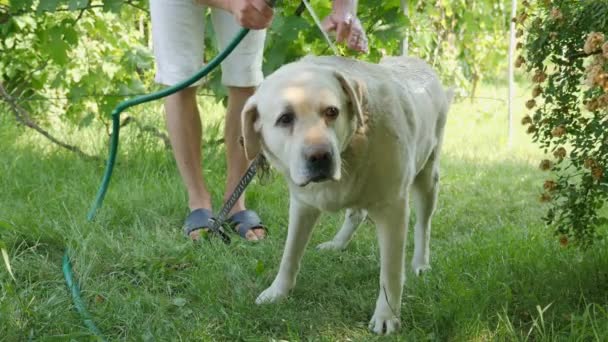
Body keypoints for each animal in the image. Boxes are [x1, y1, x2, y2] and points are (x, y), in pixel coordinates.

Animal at [240, 54, 454, 336]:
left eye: (332, 111)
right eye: (285, 119)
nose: (320, 156)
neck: (352, 146)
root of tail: (416, 60)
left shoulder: (393, 209)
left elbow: (391, 272)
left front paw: (387, 316)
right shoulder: (302, 205)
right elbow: (290, 254)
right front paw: (278, 291)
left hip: (428, 177)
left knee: (423, 225)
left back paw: (420, 263)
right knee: (357, 213)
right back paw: (337, 243)